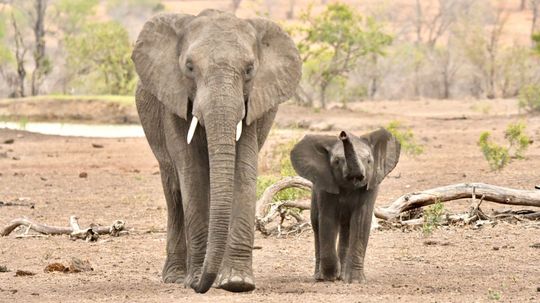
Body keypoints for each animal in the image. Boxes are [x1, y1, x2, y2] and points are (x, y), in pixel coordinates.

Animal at [131, 10, 300, 294]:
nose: (199, 285)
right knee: (174, 190)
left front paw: (237, 282)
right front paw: (195, 279)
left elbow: (243, 170)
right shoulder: (174, 100)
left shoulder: (252, 104)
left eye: (249, 69)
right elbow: (191, 172)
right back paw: (176, 277)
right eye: (189, 67)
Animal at [292, 127, 400, 282]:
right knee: (317, 226)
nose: (343, 134)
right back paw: (321, 276)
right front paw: (330, 277)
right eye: (337, 161)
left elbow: (361, 220)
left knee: (346, 228)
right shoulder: (326, 185)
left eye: (369, 161)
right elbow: (327, 220)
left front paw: (355, 281)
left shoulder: (371, 184)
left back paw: (342, 276)